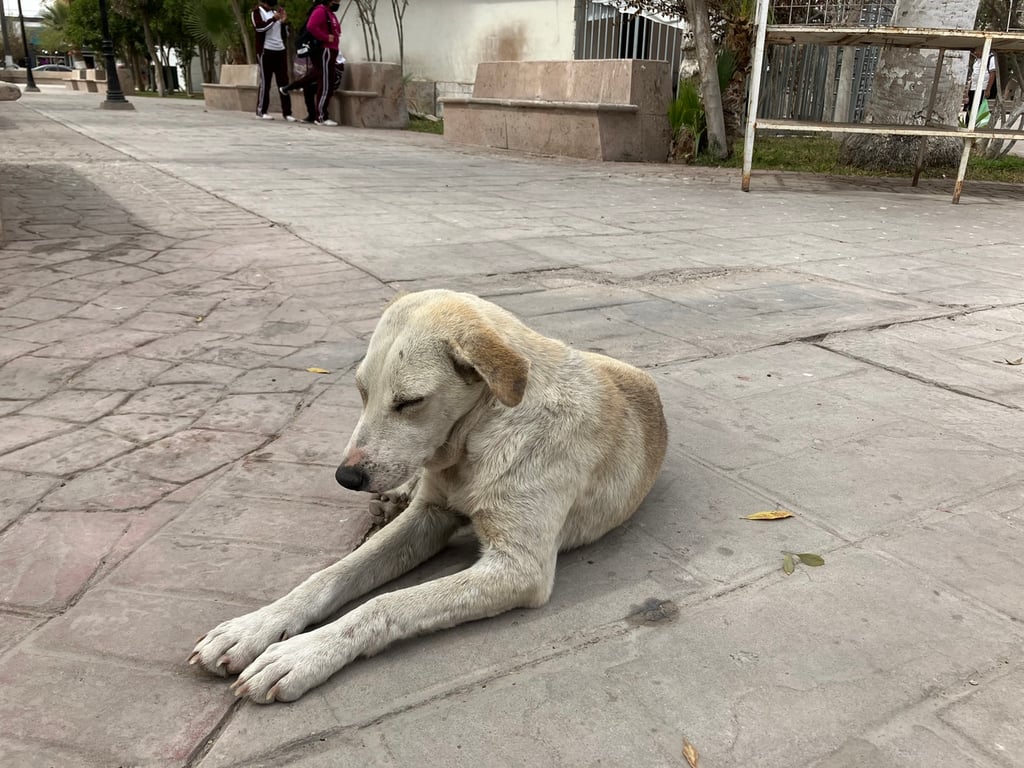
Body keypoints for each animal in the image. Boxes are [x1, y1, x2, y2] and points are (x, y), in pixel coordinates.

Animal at [190, 288, 671, 704]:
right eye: (362, 391)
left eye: (409, 402)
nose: (346, 477)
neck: (481, 435)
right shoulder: (429, 515)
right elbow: (330, 575)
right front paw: (256, 625)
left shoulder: (519, 568)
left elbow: (383, 604)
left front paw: (304, 653)